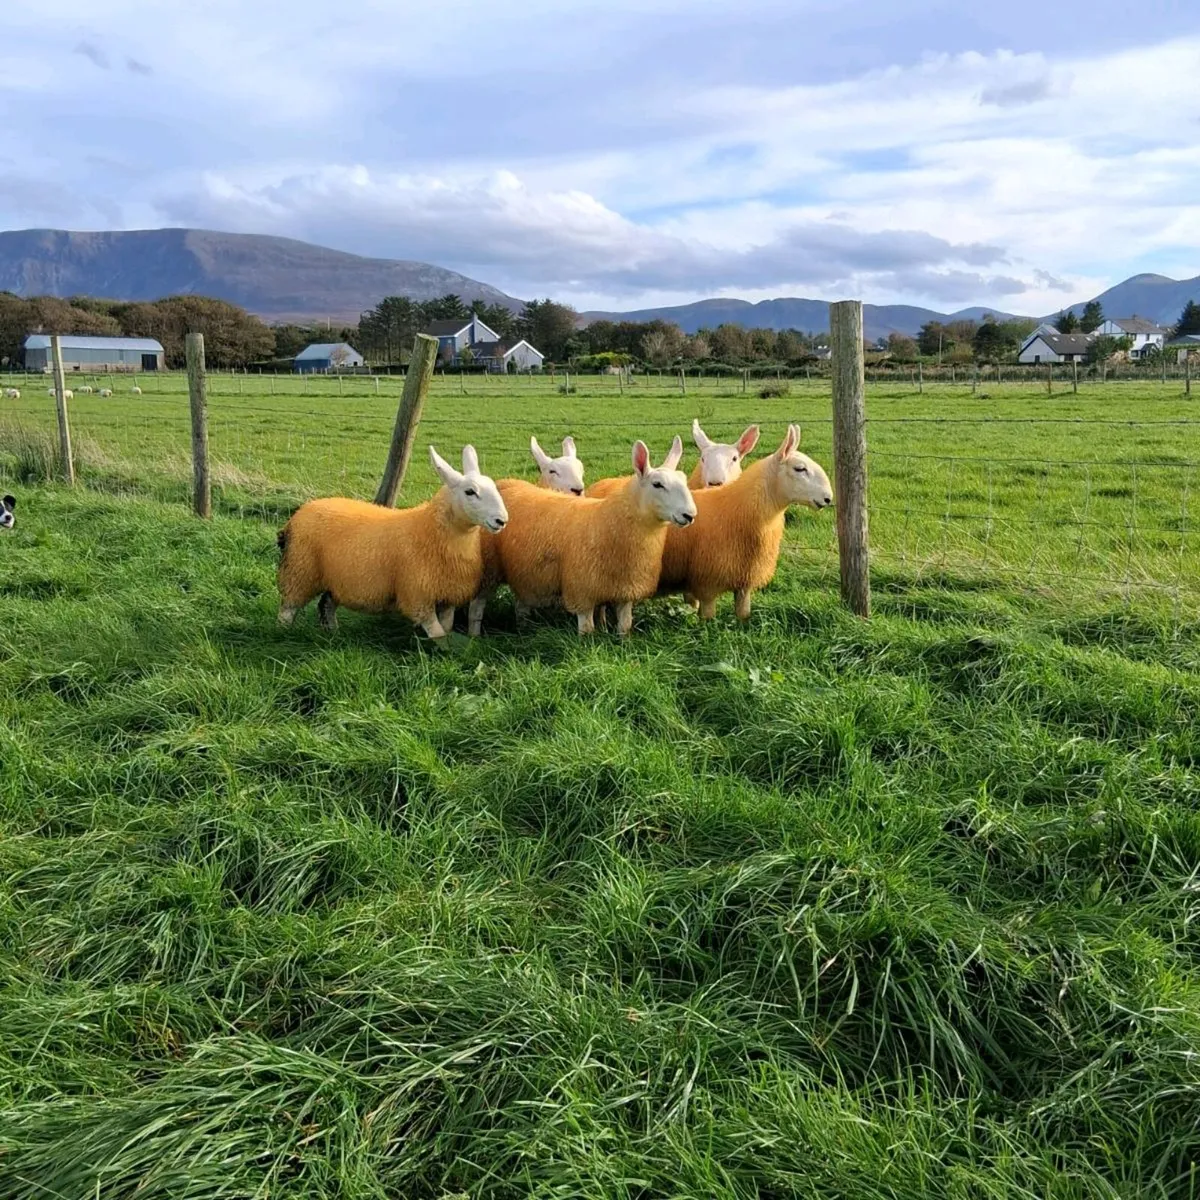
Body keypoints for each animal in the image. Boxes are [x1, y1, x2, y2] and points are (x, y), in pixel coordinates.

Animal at [276, 444, 508, 642]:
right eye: (470, 491)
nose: (502, 520)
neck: (428, 529)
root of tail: (298, 514)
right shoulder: (418, 595)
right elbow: (437, 633)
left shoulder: (447, 596)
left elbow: (446, 630)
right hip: (300, 571)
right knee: (288, 609)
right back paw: (284, 635)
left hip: (336, 578)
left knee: (326, 604)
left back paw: (333, 633)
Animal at [468, 434, 587, 635]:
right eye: (552, 471)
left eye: (581, 469)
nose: (578, 489)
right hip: (489, 567)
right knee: (477, 606)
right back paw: (474, 637)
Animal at [483, 437, 696, 637]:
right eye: (657, 484)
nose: (690, 515)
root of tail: (508, 482)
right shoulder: (581, 590)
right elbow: (587, 631)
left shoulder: (626, 589)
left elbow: (625, 627)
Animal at [657, 424, 832, 622]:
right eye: (800, 469)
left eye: (734, 459)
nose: (828, 498)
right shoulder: (706, 581)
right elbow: (707, 617)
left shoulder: (745, 578)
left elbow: (743, 614)